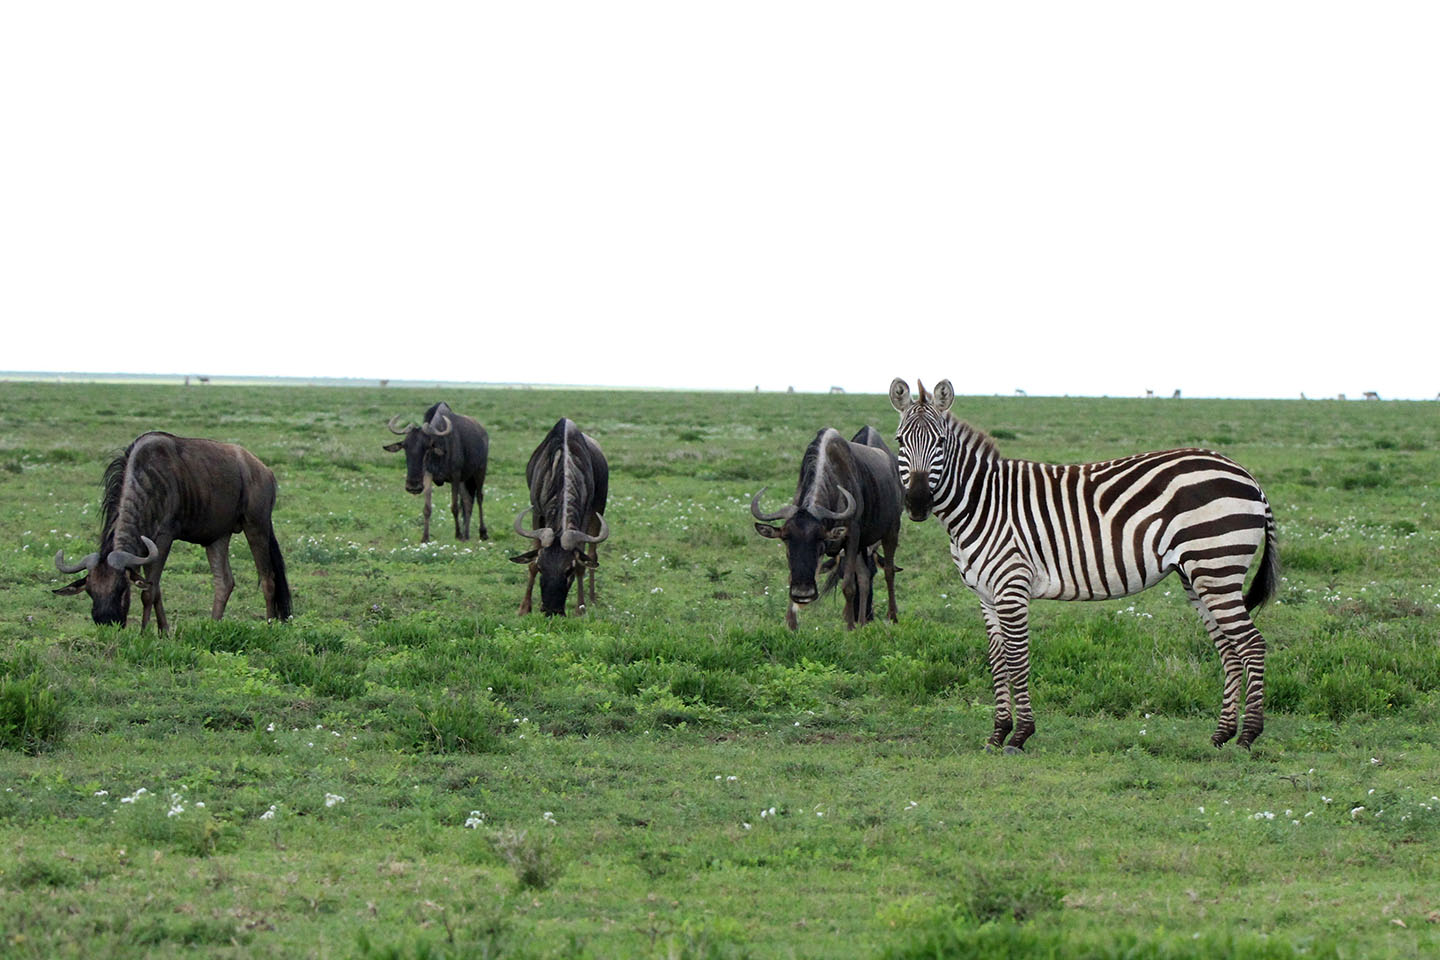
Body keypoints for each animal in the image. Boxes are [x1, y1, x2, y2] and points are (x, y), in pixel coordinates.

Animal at [887, 379, 1284, 754]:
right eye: (899, 441)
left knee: (1252, 645)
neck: (982, 503)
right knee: (1229, 649)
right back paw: (1221, 735)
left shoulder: (1012, 585)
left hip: (1217, 566)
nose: (918, 503)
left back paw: (1248, 736)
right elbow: (997, 661)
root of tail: (1246, 475)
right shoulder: (985, 595)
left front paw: (1020, 735)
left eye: (940, 442)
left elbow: (1017, 658)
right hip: (1198, 575)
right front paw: (998, 734)